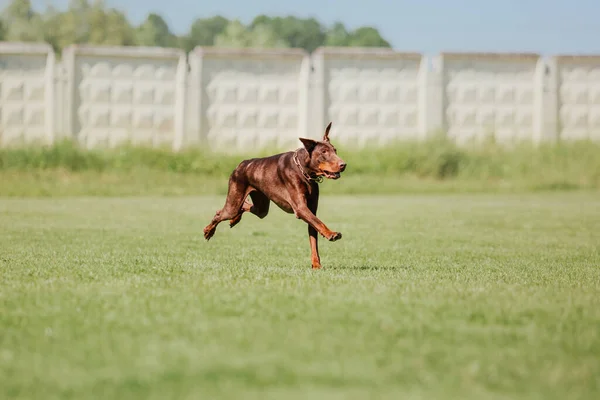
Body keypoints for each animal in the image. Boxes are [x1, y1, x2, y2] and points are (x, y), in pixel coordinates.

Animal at [204, 122, 346, 268]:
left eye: (335, 150)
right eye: (324, 152)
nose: (343, 165)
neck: (304, 172)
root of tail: (241, 164)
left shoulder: (311, 209)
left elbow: (314, 236)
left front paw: (316, 265)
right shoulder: (301, 208)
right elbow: (318, 222)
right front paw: (331, 234)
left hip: (261, 206)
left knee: (248, 207)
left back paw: (234, 219)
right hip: (234, 201)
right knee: (221, 213)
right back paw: (209, 230)